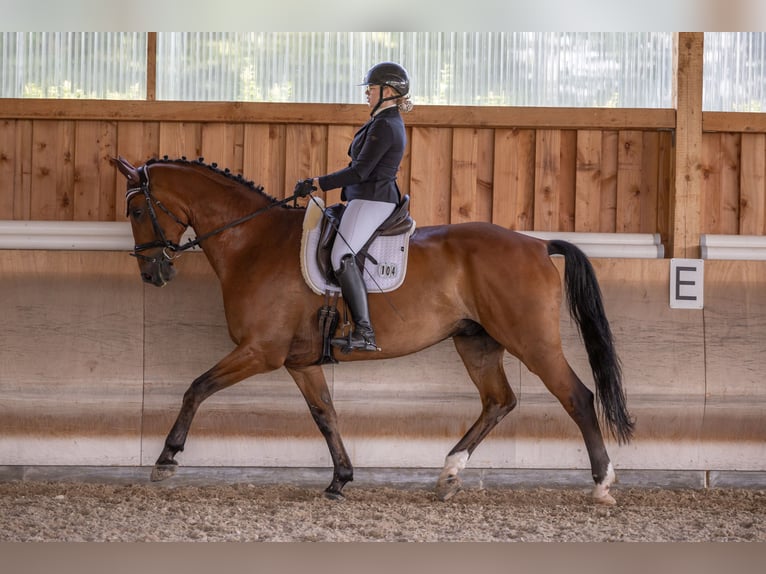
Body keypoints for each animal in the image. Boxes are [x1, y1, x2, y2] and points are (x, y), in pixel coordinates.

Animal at [112, 155, 634, 505]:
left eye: (136, 212)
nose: (153, 273)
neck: (252, 241)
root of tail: (537, 245)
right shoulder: (299, 361)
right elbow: (325, 414)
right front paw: (340, 479)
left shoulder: (261, 351)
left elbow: (197, 387)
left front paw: (166, 459)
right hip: (476, 343)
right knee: (498, 401)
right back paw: (448, 475)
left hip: (531, 341)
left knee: (577, 397)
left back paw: (602, 484)